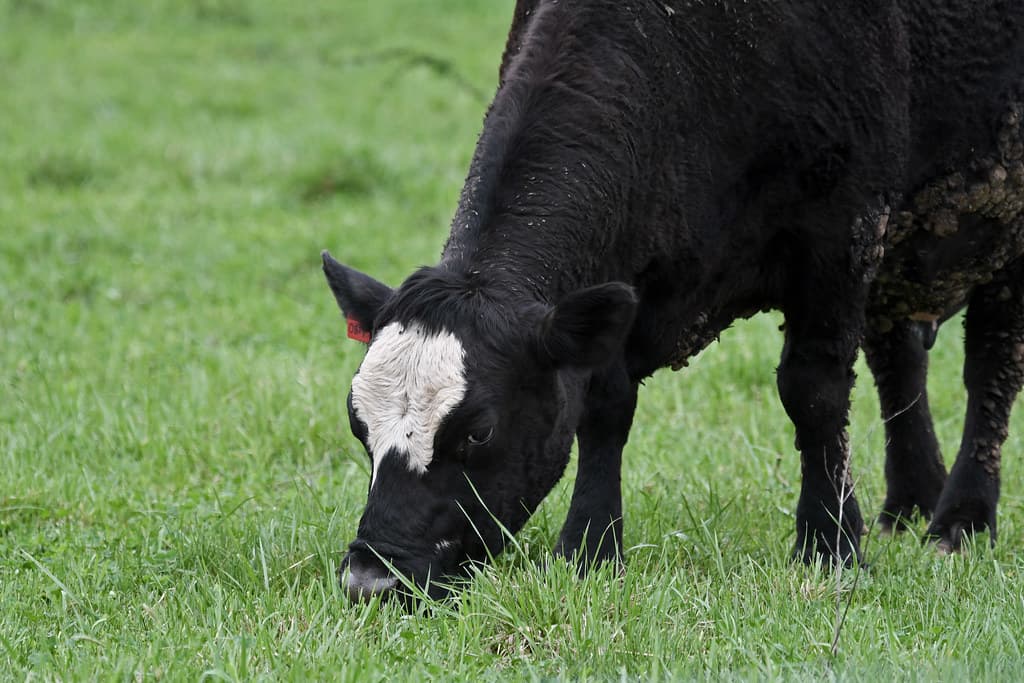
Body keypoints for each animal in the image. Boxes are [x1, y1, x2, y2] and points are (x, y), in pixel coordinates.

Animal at [321, 0, 1024, 602]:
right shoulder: (621, 275)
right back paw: (909, 503)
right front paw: (590, 548)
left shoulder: (842, 236)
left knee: (990, 366)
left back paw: (961, 519)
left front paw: (830, 546)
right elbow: (604, 409)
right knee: (900, 360)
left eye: (479, 430)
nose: (371, 579)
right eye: (358, 424)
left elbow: (814, 393)